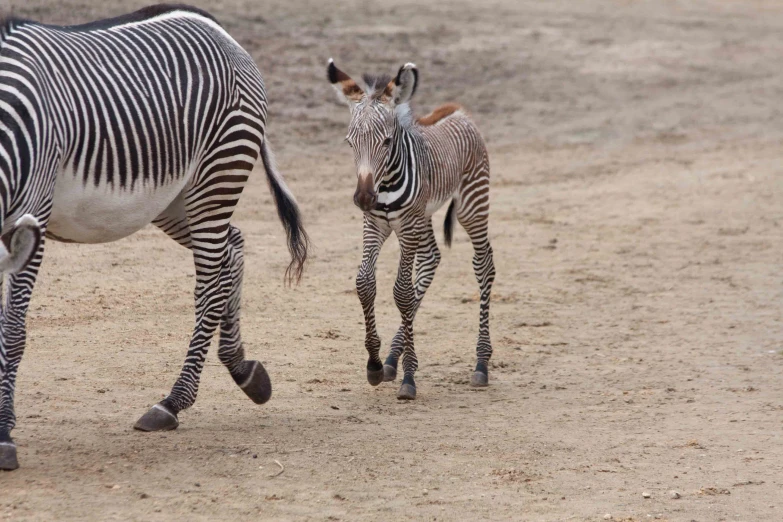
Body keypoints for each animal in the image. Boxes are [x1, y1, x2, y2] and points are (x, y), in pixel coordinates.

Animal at [0, 4, 310, 468]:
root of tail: (213, 25)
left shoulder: (32, 214)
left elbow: (12, 330)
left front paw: (3, 432)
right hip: (173, 200)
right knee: (232, 248)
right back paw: (242, 369)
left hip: (217, 174)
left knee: (209, 283)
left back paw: (173, 402)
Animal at [328, 59, 494, 398]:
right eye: (350, 142)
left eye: (387, 141)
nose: (363, 197)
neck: (385, 182)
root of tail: (458, 111)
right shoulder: (374, 224)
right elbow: (365, 283)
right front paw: (376, 364)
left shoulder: (406, 226)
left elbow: (402, 292)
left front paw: (409, 377)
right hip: (425, 216)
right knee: (432, 259)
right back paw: (393, 357)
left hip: (472, 203)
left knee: (484, 264)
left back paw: (481, 362)